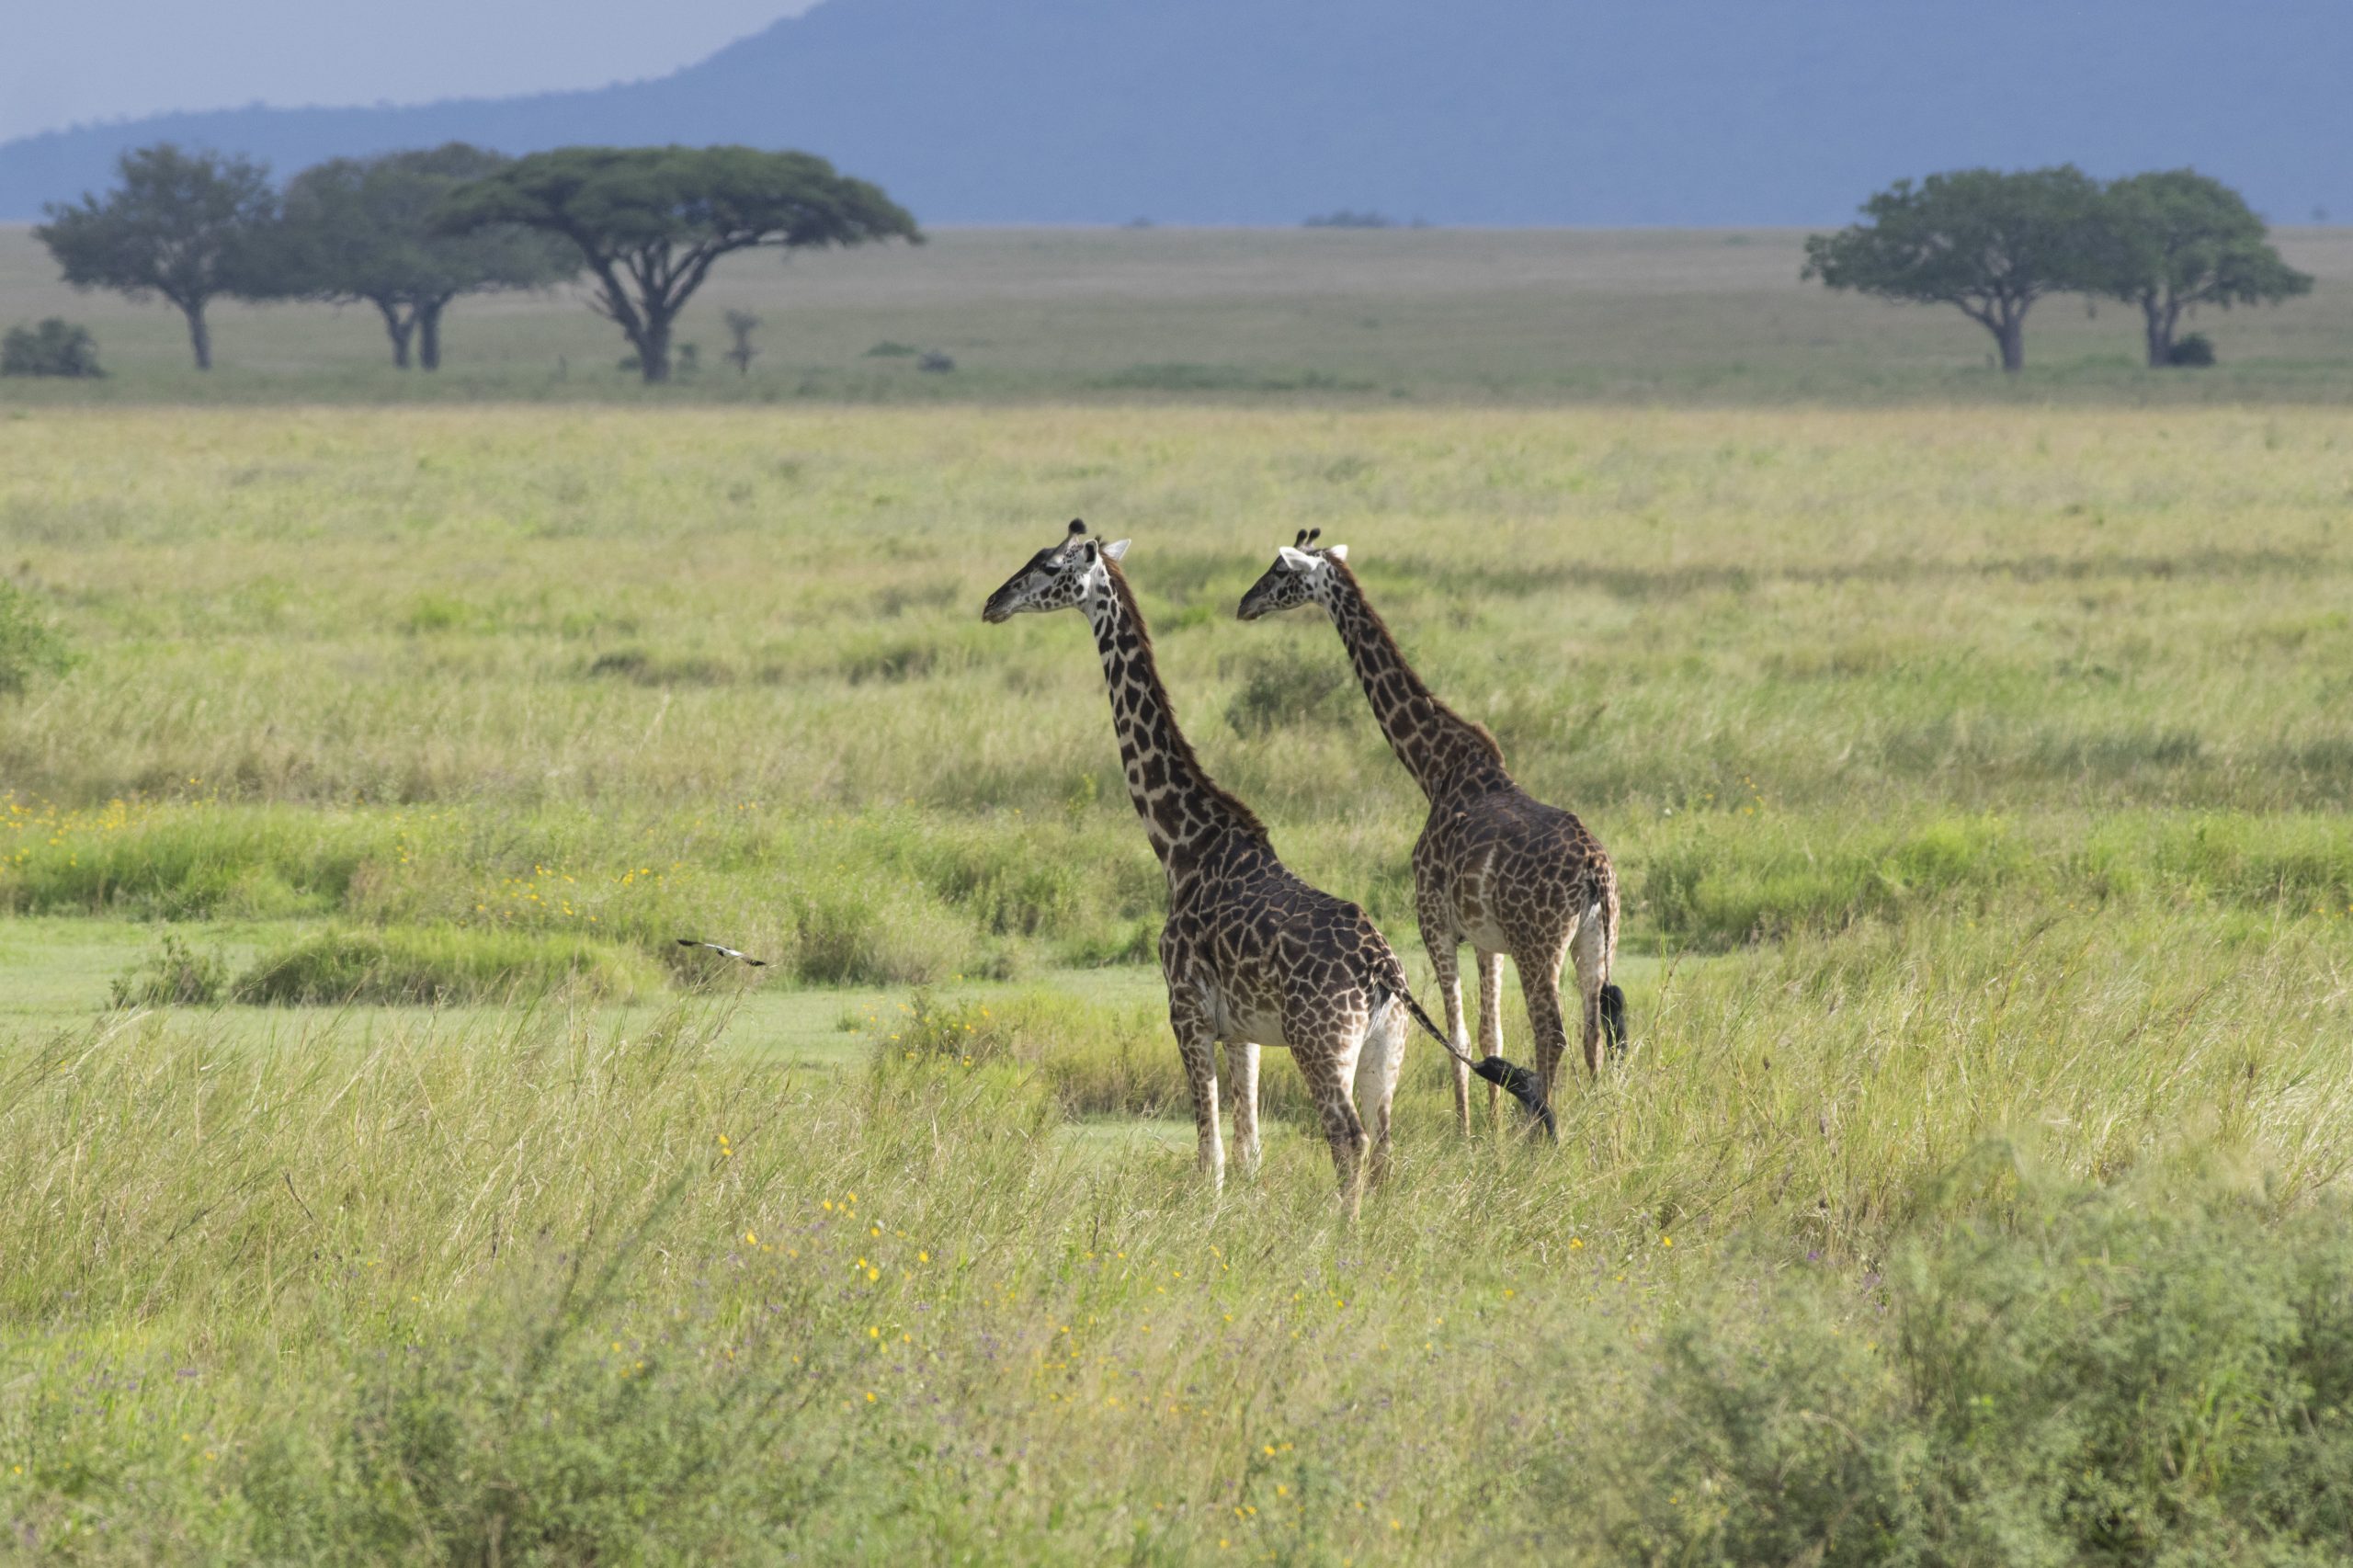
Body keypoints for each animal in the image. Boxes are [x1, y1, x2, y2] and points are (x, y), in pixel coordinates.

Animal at [984, 521, 1455, 1214]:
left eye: (1048, 567)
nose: (993, 603)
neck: (1183, 844)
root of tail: (1383, 972)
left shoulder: (1185, 1008)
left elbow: (1211, 1153)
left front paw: (1207, 1215)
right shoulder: (1242, 1029)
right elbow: (1250, 1147)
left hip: (1321, 1043)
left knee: (1349, 1136)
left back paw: (1342, 1228)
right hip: (1384, 1050)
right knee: (1386, 1141)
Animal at [1239, 533, 1626, 1130]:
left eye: (1281, 572)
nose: (1244, 604)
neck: (1436, 767)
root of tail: (1594, 869)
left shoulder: (1434, 921)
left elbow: (1459, 1036)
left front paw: (1468, 1133)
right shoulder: (1487, 939)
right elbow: (1491, 1033)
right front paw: (1490, 1129)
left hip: (1539, 943)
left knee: (1553, 1031)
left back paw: (1538, 1131)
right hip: (1596, 935)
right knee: (1592, 1026)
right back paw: (1596, 1115)